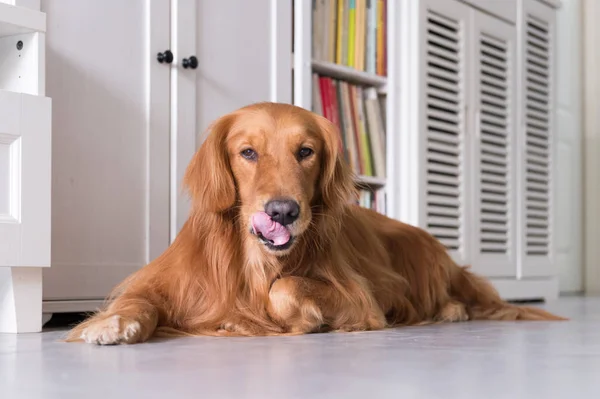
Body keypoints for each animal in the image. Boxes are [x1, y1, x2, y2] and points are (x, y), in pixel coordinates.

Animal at [68, 104, 564, 346]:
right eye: (248, 153)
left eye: (306, 152)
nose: (283, 212)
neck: (255, 260)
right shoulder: (172, 282)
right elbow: (138, 300)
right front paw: (111, 323)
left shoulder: (361, 300)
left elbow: (285, 288)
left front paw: (303, 319)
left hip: (418, 255)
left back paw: (451, 310)